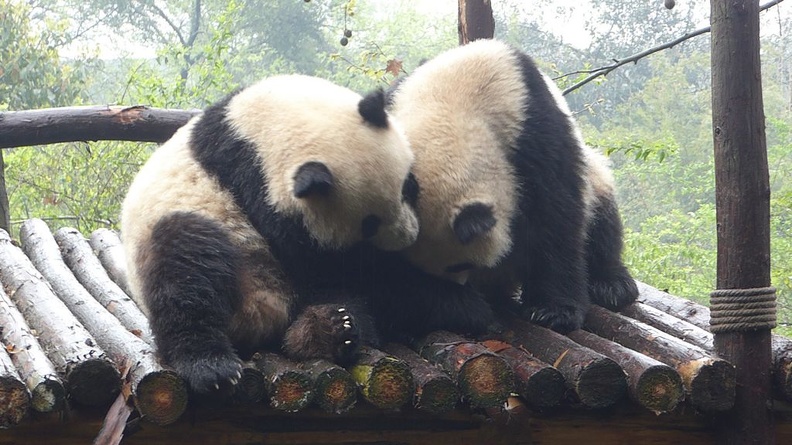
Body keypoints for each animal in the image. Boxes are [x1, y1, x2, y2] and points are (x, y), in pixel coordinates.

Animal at [119, 74, 420, 394]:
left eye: (408, 186)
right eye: (369, 223)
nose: (409, 236)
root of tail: (260, 319)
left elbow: (335, 280)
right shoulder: (255, 185)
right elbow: (319, 263)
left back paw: (330, 331)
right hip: (184, 229)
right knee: (185, 270)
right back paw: (211, 366)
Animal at [386, 40, 640, 332]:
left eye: (460, 264)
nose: (465, 284)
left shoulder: (533, 129)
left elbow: (556, 217)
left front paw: (553, 312)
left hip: (594, 179)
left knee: (601, 222)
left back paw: (612, 285)